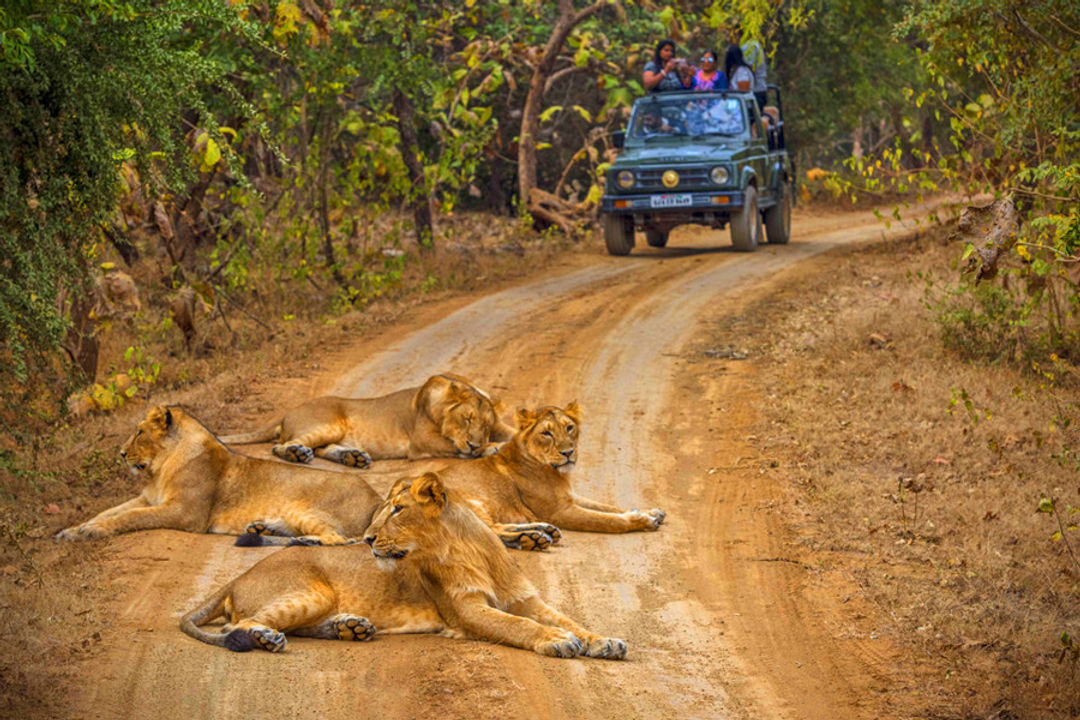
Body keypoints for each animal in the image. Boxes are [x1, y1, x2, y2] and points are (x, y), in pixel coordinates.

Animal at [58, 405, 384, 546]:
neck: (161, 468)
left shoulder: (185, 513)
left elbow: (130, 517)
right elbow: (107, 511)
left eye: (139, 432)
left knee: (340, 539)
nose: (122, 454)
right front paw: (73, 530)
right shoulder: (148, 498)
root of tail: (376, 498)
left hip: (306, 508)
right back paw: (261, 530)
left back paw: (303, 542)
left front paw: (92, 532)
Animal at [177, 472, 626, 660]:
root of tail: (238, 576)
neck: (469, 551)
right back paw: (270, 640)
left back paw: (350, 628)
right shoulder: (467, 612)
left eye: (397, 510)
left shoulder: (526, 599)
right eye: (382, 511)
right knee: (239, 627)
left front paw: (604, 642)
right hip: (309, 591)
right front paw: (559, 642)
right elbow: (520, 626)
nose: (368, 539)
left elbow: (569, 619)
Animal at [219, 375, 514, 470]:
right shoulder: (420, 443)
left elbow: (512, 431)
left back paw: (354, 457)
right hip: (328, 424)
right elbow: (458, 447)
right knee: (280, 446)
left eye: (486, 427)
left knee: (323, 449)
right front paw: (489, 448)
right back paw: (297, 454)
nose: (475, 443)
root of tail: (284, 415)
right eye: (467, 418)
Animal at [432, 399, 665, 552]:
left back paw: (541, 534)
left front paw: (650, 511)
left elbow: (610, 507)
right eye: (546, 433)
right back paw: (532, 539)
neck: (557, 474)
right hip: (469, 504)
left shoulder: (572, 497)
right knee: (491, 531)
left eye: (569, 427)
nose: (568, 453)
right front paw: (642, 520)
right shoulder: (560, 511)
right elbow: (608, 520)